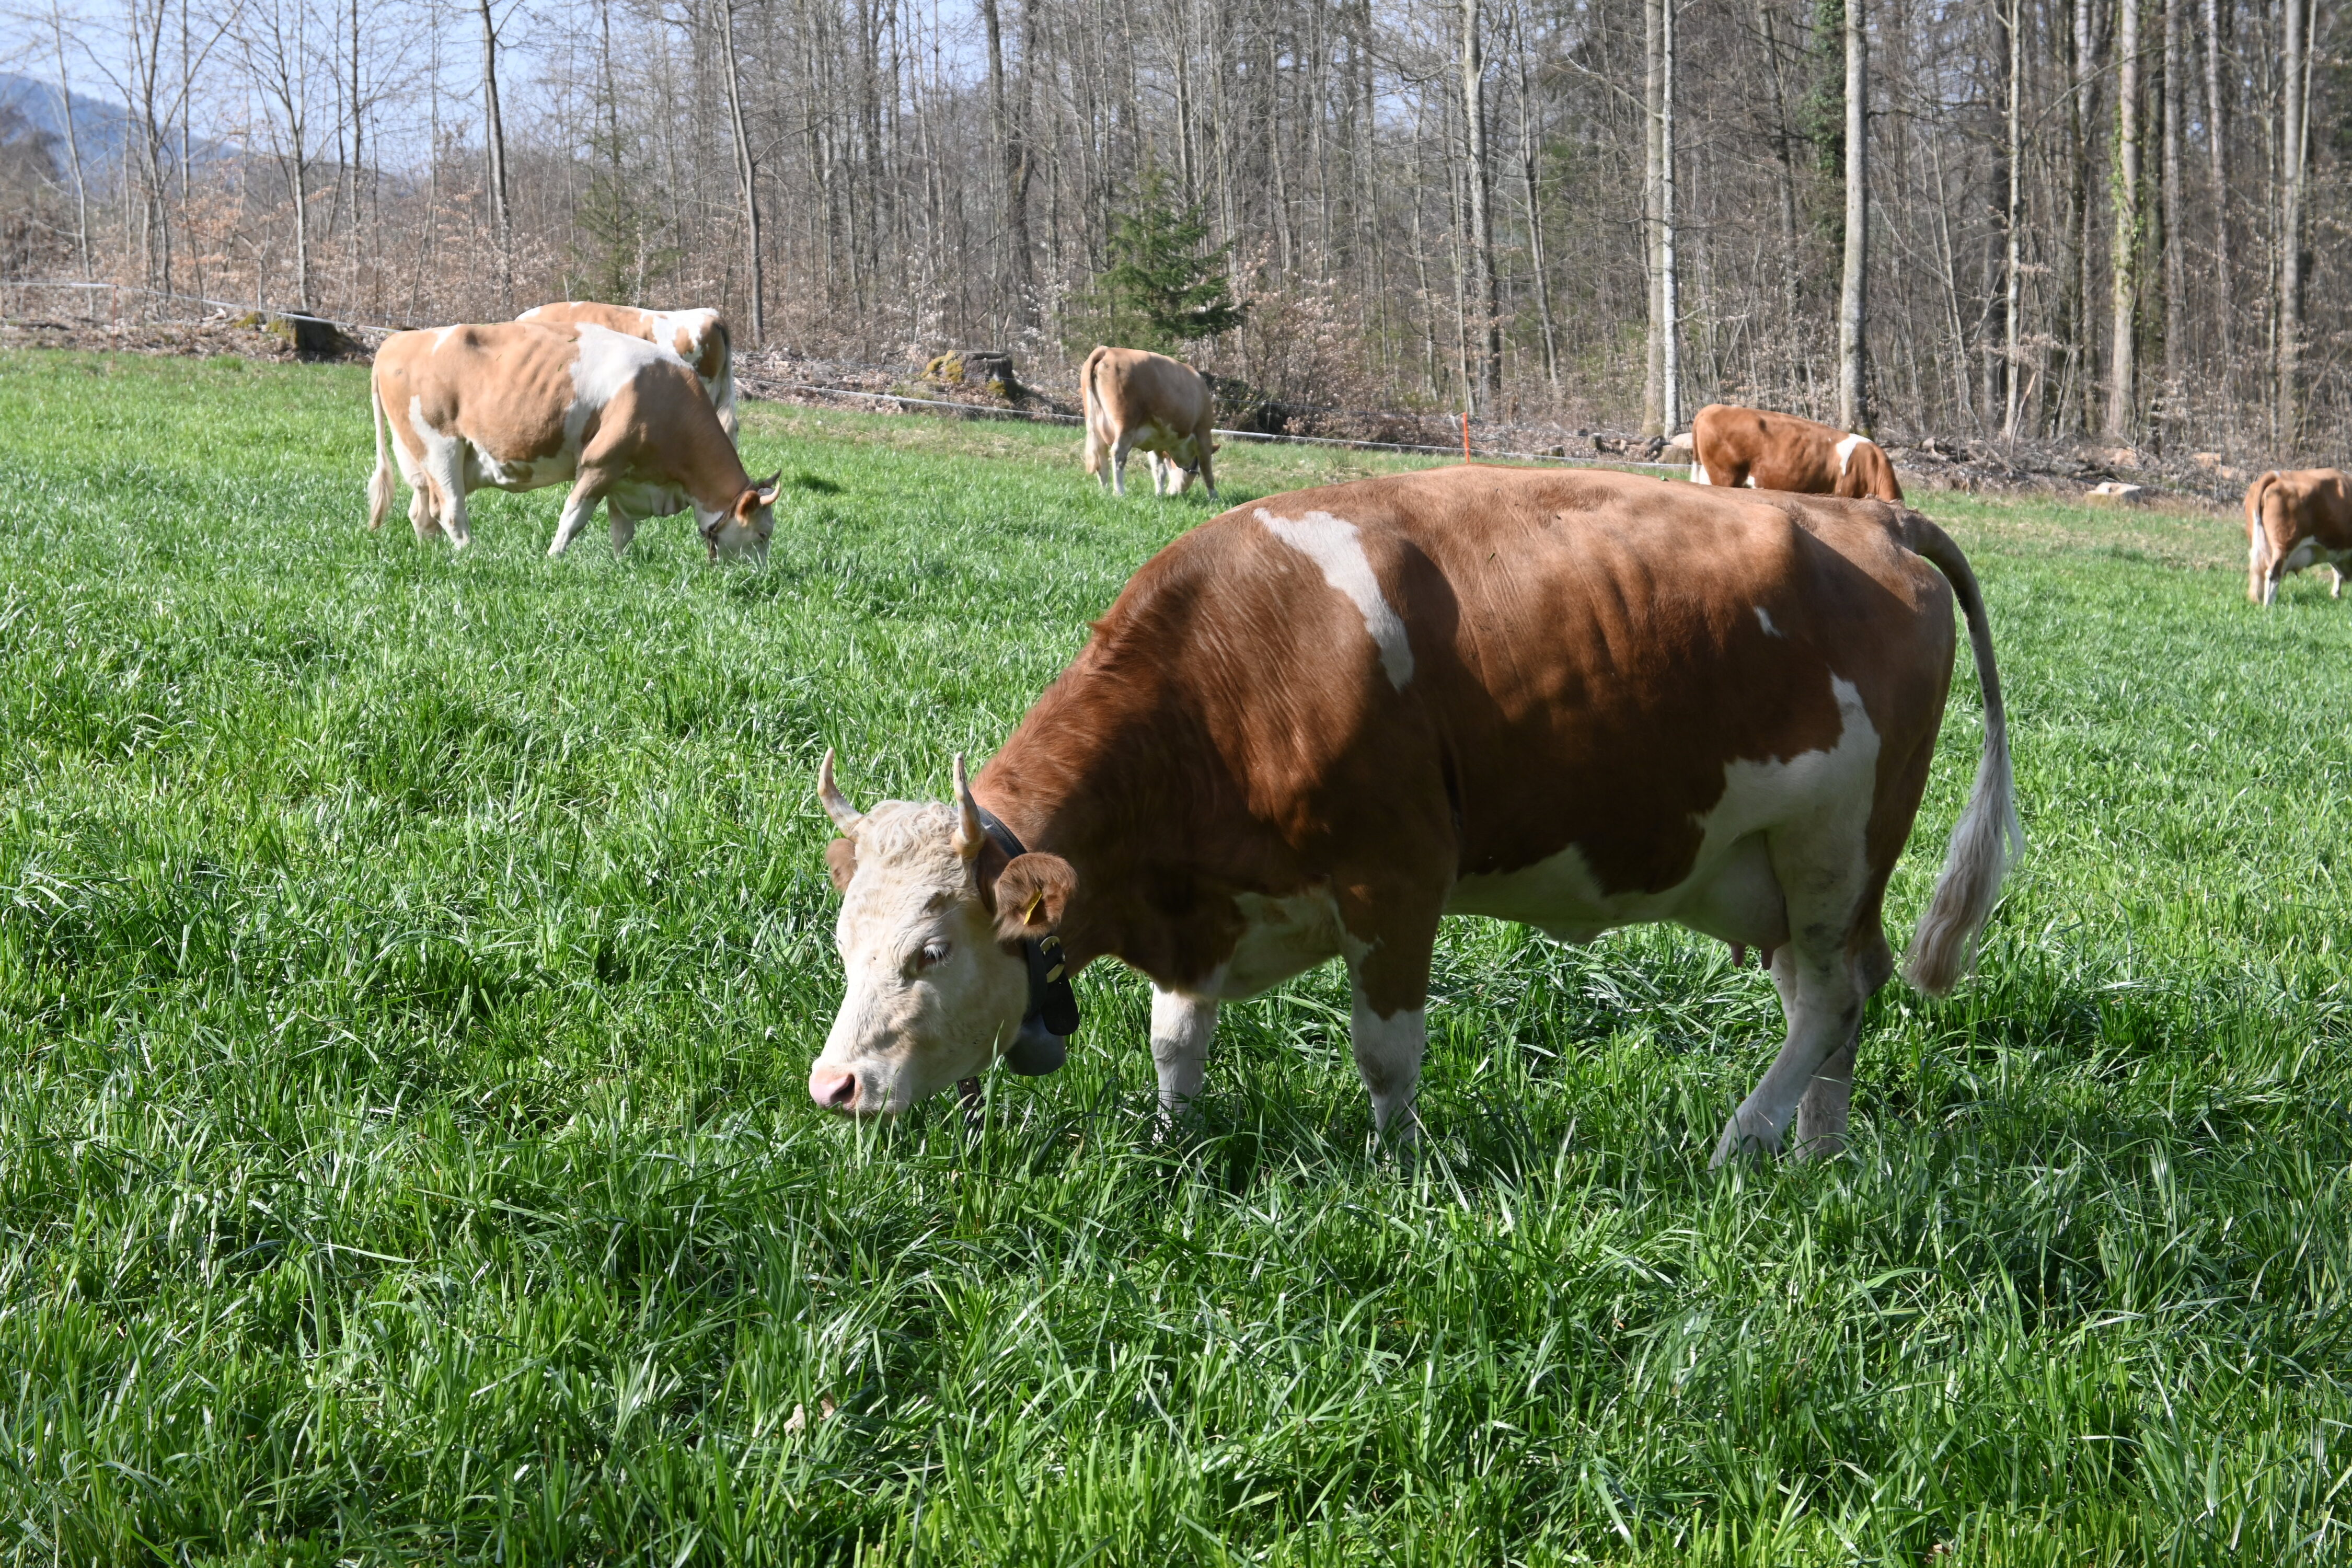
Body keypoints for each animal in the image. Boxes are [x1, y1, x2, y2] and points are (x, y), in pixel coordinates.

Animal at [367, 320, 780, 560]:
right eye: (762, 534)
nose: (757, 579)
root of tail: (397, 342)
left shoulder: (625, 476)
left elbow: (622, 530)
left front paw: (621, 566)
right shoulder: (601, 462)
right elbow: (574, 518)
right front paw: (553, 559)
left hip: (421, 460)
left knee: (421, 513)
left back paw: (433, 555)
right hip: (442, 448)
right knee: (450, 511)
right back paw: (473, 556)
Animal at [809, 464, 2020, 1166]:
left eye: (929, 952)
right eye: (843, 947)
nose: (833, 1086)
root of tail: (1871, 517)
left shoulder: (1394, 877)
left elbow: (1385, 1051)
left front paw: (1397, 1167)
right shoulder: (1202, 906)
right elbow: (1175, 1041)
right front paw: (1170, 1142)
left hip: (1834, 852)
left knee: (1831, 998)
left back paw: (1744, 1141)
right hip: (1772, 868)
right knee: (1836, 998)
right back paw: (1816, 1153)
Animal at [1081, 345, 1220, 499]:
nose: (1174, 492)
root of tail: (1107, 350)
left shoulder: (1155, 443)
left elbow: (1159, 471)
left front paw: (1159, 495)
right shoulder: (1203, 432)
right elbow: (1207, 470)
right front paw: (1214, 497)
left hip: (1095, 423)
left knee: (1101, 457)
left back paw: (1105, 492)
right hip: (1125, 424)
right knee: (1118, 454)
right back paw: (1119, 493)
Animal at [2244, 468, 2352, 606]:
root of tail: (2277, 476)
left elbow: (2337, 572)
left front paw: (2336, 596)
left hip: (2259, 544)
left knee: (2259, 573)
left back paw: (2257, 601)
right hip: (2284, 544)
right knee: (2272, 574)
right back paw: (2269, 606)